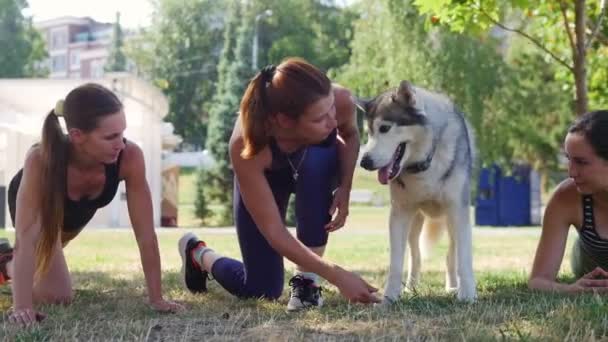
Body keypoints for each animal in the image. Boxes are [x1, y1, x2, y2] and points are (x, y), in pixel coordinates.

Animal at [358, 81, 478, 304]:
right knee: (415, 254)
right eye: (368, 133)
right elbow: (396, 263)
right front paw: (389, 298)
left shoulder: (458, 211)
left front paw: (467, 295)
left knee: (451, 254)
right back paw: (411, 287)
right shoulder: (399, 214)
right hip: (415, 222)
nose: (364, 162)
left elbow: (464, 259)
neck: (424, 165)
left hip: (451, 221)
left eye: (384, 128)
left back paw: (452, 287)